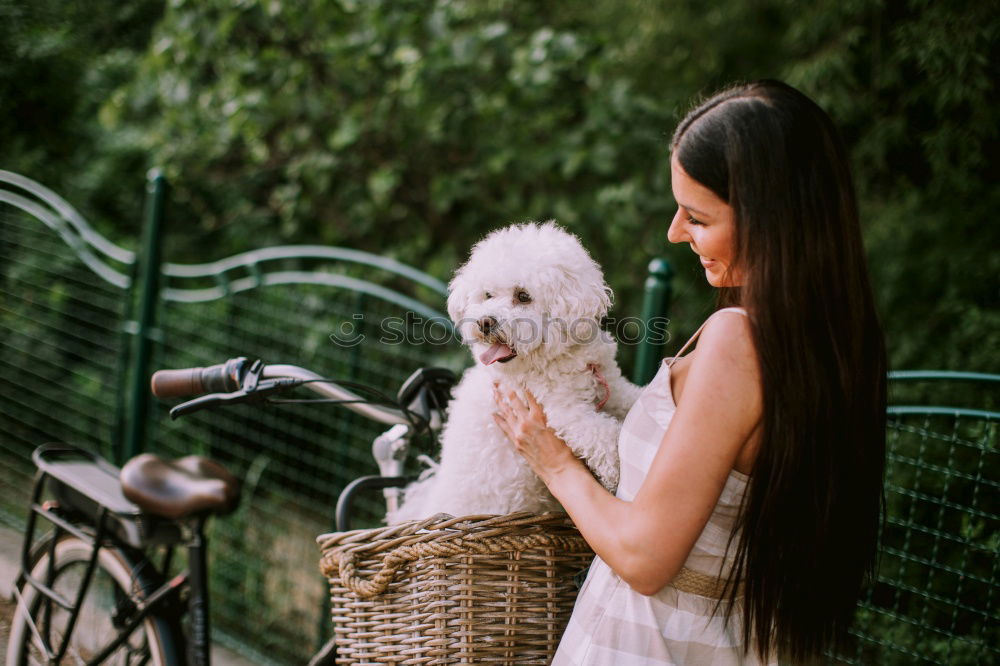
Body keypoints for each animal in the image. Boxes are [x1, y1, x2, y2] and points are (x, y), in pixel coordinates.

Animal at [386, 220, 644, 520]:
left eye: (523, 296)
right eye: (487, 295)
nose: (485, 322)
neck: (557, 358)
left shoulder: (612, 387)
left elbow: (632, 399)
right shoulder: (563, 412)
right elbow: (604, 435)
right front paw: (614, 471)